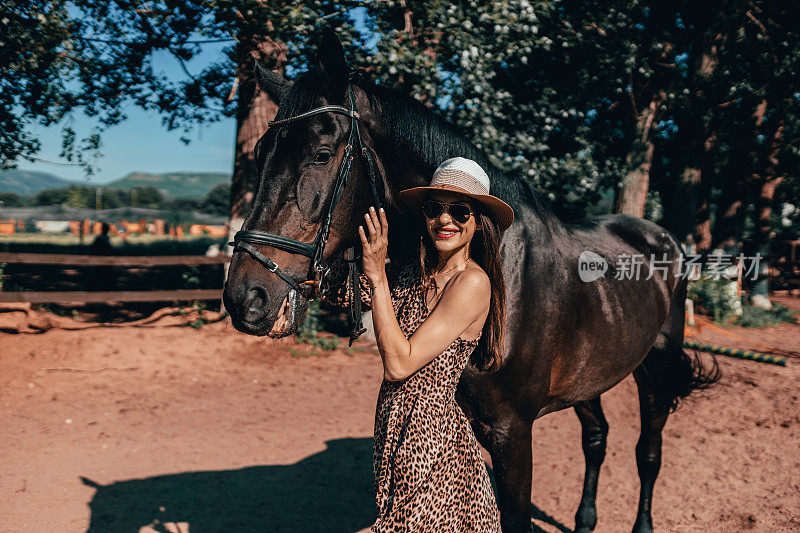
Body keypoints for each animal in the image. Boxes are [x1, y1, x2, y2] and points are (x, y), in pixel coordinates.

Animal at [223, 28, 720, 532]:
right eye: (260, 155)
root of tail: (661, 238)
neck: (499, 266)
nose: (246, 298)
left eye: (322, 156)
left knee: (648, 452)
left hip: (656, 366)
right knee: (596, 438)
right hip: (592, 373)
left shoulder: (512, 432)